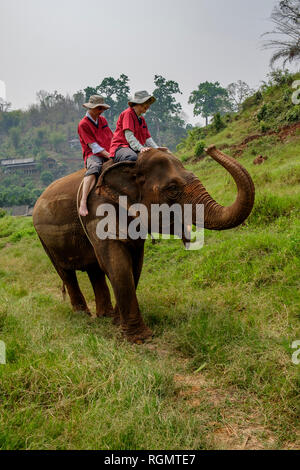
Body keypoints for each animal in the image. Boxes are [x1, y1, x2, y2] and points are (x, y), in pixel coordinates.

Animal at [32, 145, 254, 344]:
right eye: (172, 189)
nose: (210, 148)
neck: (130, 165)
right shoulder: (97, 213)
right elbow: (117, 265)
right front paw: (139, 339)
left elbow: (134, 265)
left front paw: (117, 323)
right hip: (44, 240)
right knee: (66, 273)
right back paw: (82, 316)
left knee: (94, 270)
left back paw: (103, 316)